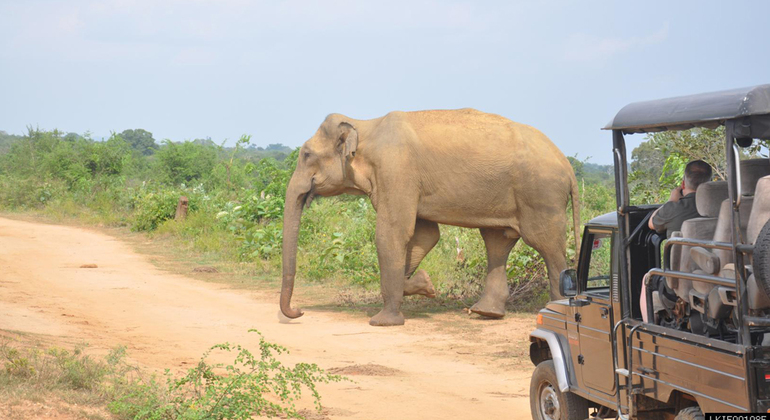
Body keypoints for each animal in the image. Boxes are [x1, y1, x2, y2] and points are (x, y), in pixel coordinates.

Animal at [280, 107, 580, 324]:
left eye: (306, 154)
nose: (299, 311)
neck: (364, 125)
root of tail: (568, 167)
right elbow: (425, 235)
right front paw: (425, 284)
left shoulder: (396, 170)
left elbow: (392, 232)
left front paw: (383, 321)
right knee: (497, 241)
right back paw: (486, 313)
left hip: (541, 195)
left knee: (546, 245)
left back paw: (552, 310)